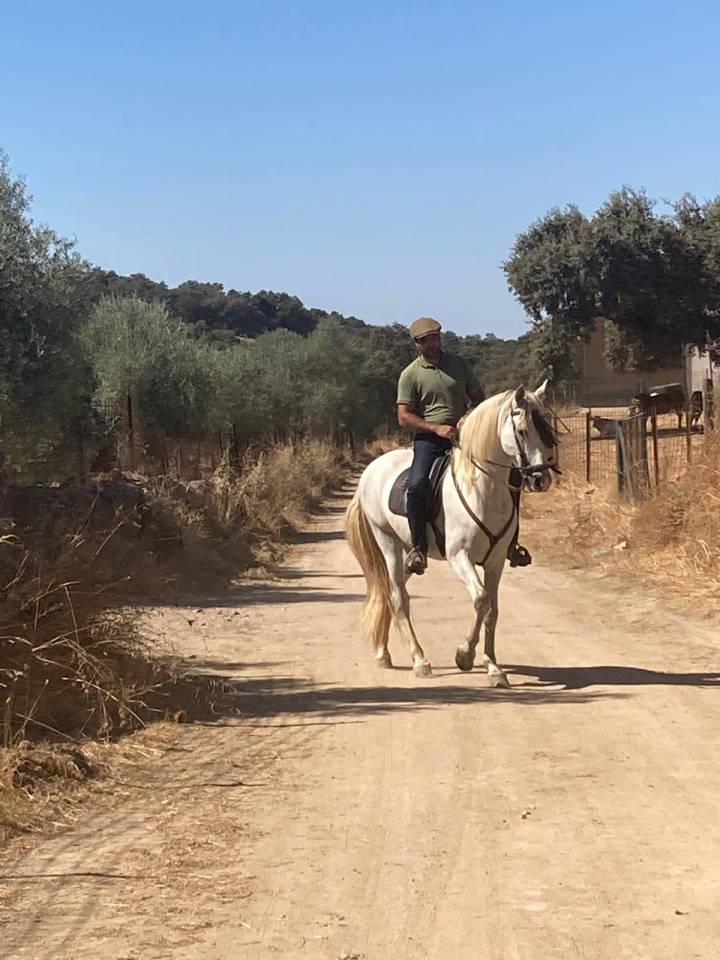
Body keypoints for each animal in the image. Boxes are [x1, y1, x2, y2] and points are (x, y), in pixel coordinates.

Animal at [345, 383, 556, 688]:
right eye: (522, 431)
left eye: (546, 426)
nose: (541, 479)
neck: (481, 487)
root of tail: (372, 469)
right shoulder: (460, 556)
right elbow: (480, 600)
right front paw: (464, 656)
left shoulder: (496, 562)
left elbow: (492, 610)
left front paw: (493, 667)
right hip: (387, 542)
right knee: (398, 597)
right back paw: (419, 660)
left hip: (408, 552)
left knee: (387, 591)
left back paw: (383, 653)